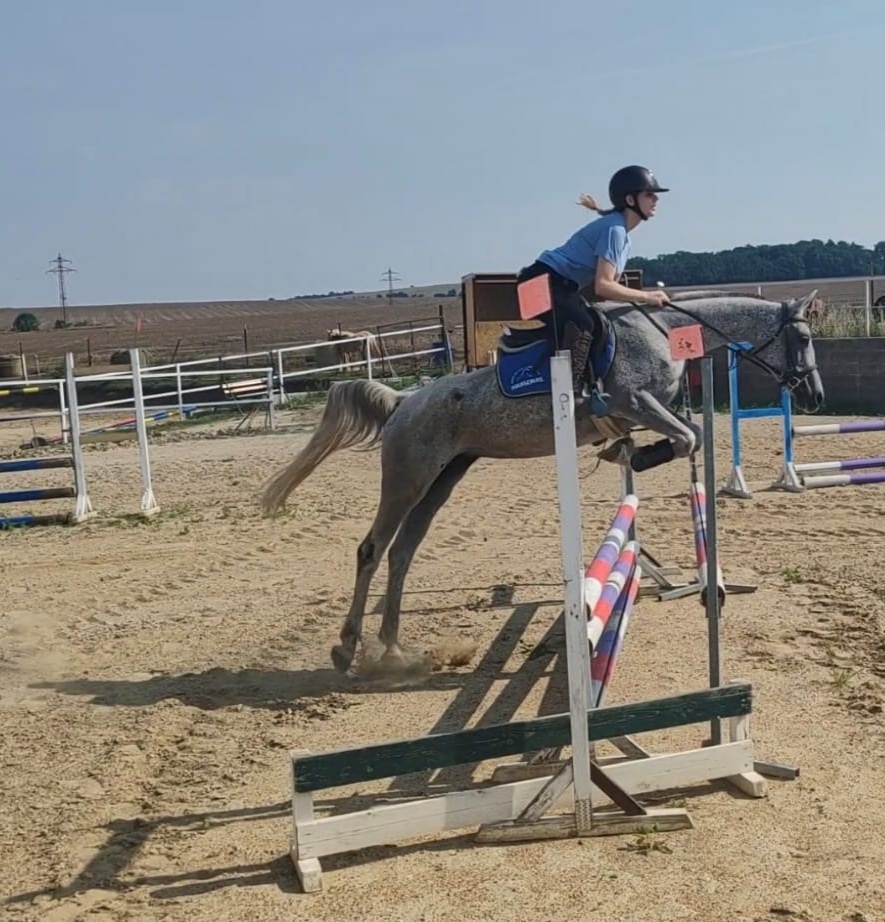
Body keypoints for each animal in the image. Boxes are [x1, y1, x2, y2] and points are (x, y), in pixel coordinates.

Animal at [263, 291, 824, 676]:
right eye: (802, 339)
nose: (814, 396)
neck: (665, 332)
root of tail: (404, 402)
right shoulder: (635, 402)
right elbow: (688, 437)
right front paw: (632, 454)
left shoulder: (647, 410)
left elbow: (691, 436)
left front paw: (625, 452)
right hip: (408, 479)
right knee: (373, 549)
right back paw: (347, 648)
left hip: (443, 480)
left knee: (402, 553)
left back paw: (395, 650)